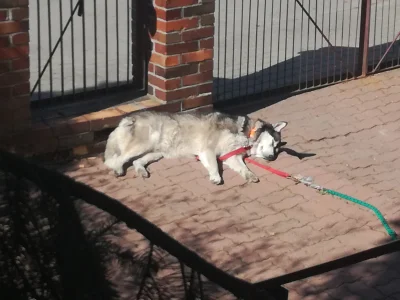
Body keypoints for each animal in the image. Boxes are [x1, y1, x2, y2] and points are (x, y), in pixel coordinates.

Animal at [103, 110, 288, 184]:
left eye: (277, 148)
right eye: (273, 143)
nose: (272, 157)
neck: (246, 132)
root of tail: (128, 118)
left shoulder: (231, 155)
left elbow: (243, 167)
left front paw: (249, 174)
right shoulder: (208, 149)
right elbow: (214, 164)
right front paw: (216, 176)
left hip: (157, 152)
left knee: (137, 161)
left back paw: (142, 170)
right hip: (143, 144)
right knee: (115, 160)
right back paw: (117, 168)